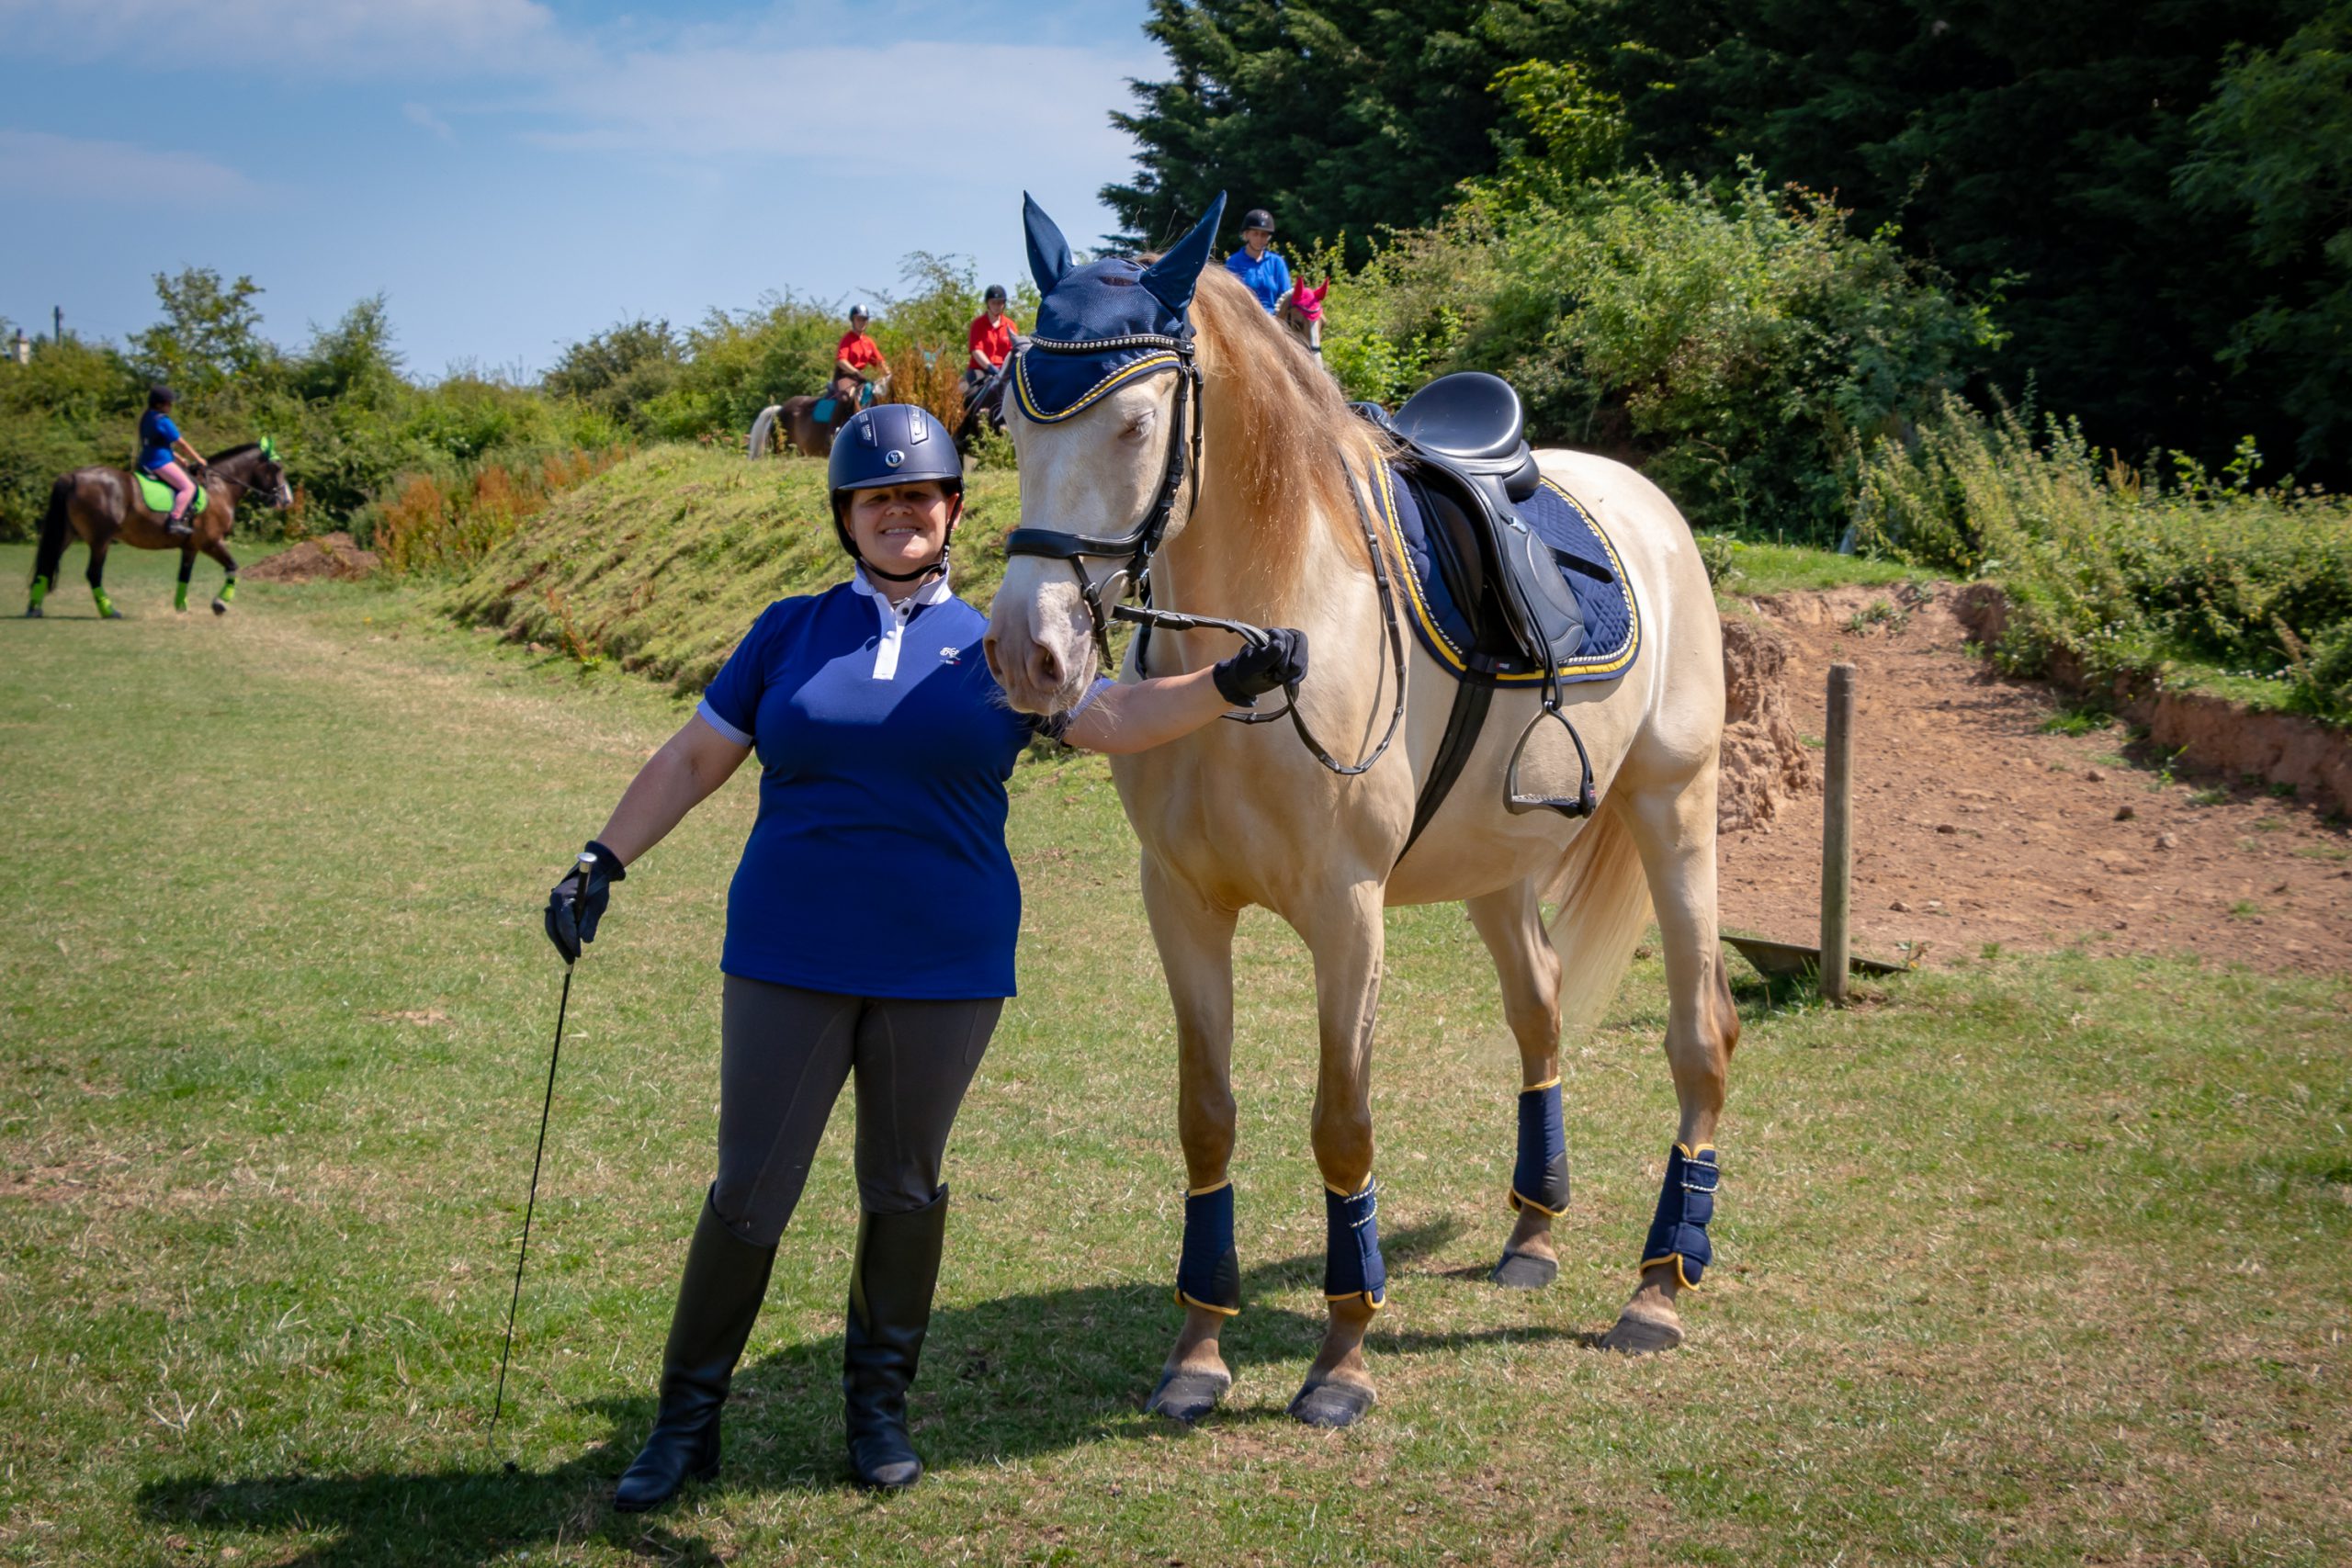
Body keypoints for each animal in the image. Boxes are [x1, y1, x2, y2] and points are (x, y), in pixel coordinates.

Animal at [26, 441, 293, 618]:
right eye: (277, 467)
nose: (287, 500)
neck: (219, 488)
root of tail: (72, 476)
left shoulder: (191, 547)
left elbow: (184, 576)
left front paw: (182, 607)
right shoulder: (211, 542)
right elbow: (232, 566)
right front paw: (220, 603)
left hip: (67, 535)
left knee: (47, 564)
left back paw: (35, 608)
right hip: (101, 540)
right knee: (93, 573)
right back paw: (109, 610)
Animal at [985, 194, 1737, 1428]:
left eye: (1135, 426)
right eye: (1009, 420)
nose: (1026, 652)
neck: (1258, 638)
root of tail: (1641, 500)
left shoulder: (1348, 916)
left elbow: (1342, 1128)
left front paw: (1341, 1359)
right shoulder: (1181, 906)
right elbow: (1206, 1115)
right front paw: (1198, 1350)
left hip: (1673, 812)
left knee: (1700, 1039)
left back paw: (1659, 1288)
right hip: (1497, 865)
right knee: (1538, 1015)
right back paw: (1532, 1233)